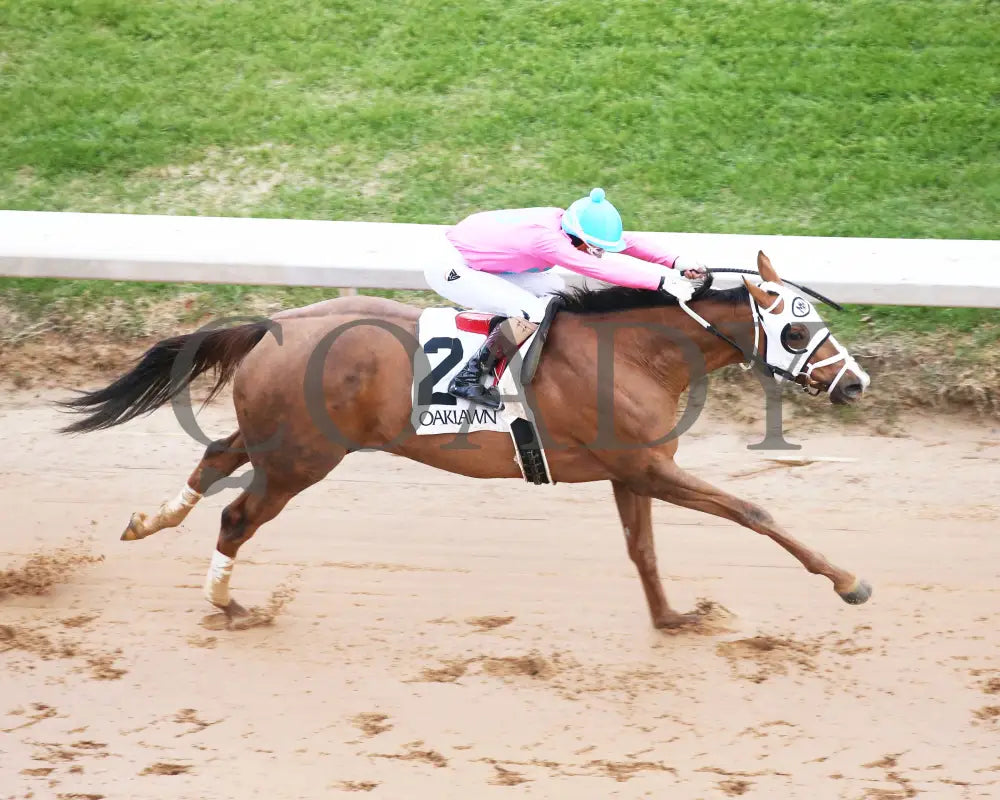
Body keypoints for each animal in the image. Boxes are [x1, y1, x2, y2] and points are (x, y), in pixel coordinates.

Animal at [60, 253, 876, 628]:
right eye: (795, 330)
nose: (855, 382)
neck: (636, 351)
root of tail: (271, 323)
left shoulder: (634, 471)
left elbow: (642, 550)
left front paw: (671, 619)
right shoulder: (645, 466)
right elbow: (754, 512)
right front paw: (847, 580)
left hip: (278, 439)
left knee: (215, 457)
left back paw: (148, 521)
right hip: (302, 459)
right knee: (237, 514)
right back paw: (229, 604)